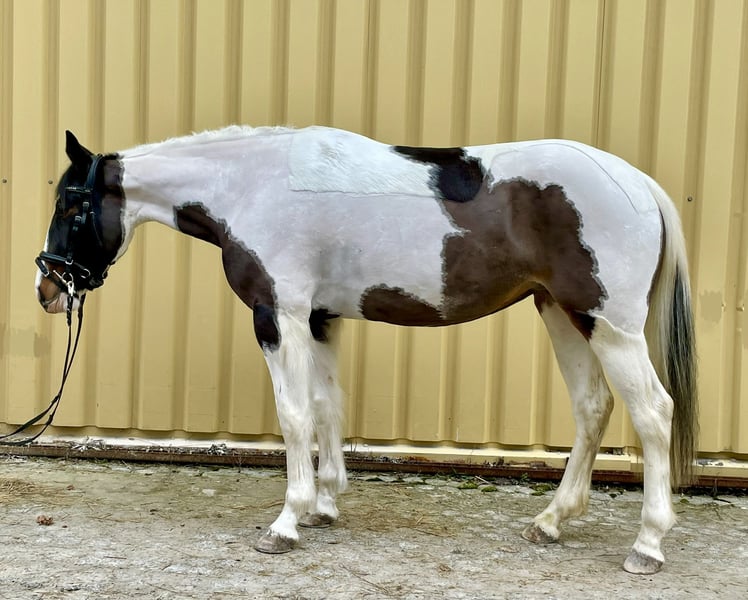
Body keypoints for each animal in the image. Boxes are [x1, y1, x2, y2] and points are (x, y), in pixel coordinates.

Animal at [35, 125, 698, 575]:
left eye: (73, 203)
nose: (48, 288)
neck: (252, 186)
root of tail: (639, 184)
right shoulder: (321, 319)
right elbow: (327, 408)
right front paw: (325, 506)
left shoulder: (279, 317)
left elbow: (294, 415)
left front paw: (287, 522)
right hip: (562, 314)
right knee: (592, 408)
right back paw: (552, 521)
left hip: (608, 325)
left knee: (653, 413)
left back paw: (647, 544)